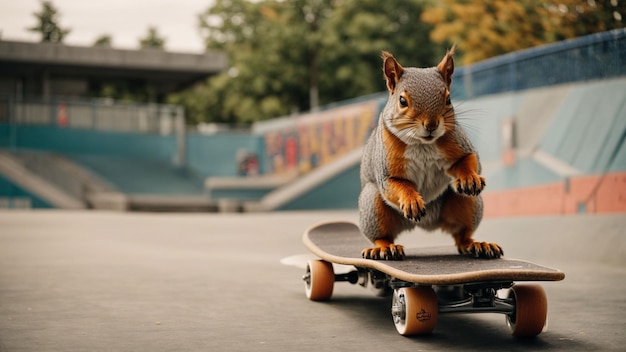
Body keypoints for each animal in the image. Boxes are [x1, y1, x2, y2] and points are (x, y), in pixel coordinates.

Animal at [358, 48, 500, 260]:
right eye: (402, 101)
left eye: (448, 99)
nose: (431, 125)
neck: (422, 144)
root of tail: (425, 224)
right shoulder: (386, 167)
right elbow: (395, 184)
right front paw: (411, 200)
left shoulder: (458, 142)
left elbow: (470, 159)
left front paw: (469, 178)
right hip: (372, 205)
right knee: (382, 235)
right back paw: (385, 248)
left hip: (469, 204)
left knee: (461, 234)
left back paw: (477, 245)